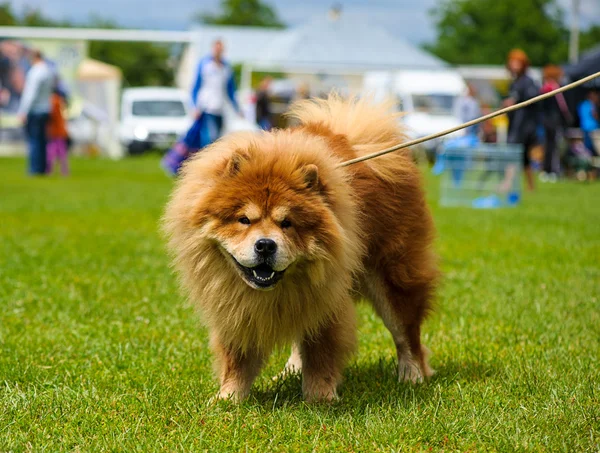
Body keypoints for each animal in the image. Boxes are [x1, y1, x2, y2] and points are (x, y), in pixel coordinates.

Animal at [162, 95, 438, 402]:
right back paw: (290, 372)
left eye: (287, 223)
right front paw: (228, 398)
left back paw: (412, 375)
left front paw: (320, 398)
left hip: (392, 276)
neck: (271, 292)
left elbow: (321, 352)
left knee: (406, 333)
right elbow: (237, 359)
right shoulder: (233, 308)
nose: (265, 245)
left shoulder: (327, 300)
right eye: (244, 220)